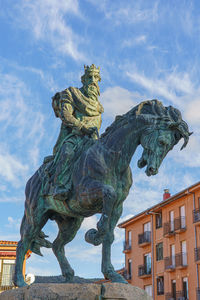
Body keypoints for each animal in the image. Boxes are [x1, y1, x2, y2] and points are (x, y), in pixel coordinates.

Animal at [13, 99, 191, 288]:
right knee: (23, 243)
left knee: (57, 245)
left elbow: (109, 236)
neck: (112, 157)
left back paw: (68, 277)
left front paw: (112, 274)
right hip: (36, 215)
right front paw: (94, 234)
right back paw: (20, 281)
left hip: (70, 222)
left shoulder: (117, 207)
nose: (152, 169)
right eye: (162, 142)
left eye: (170, 148)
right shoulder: (86, 195)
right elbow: (108, 196)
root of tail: (31, 181)